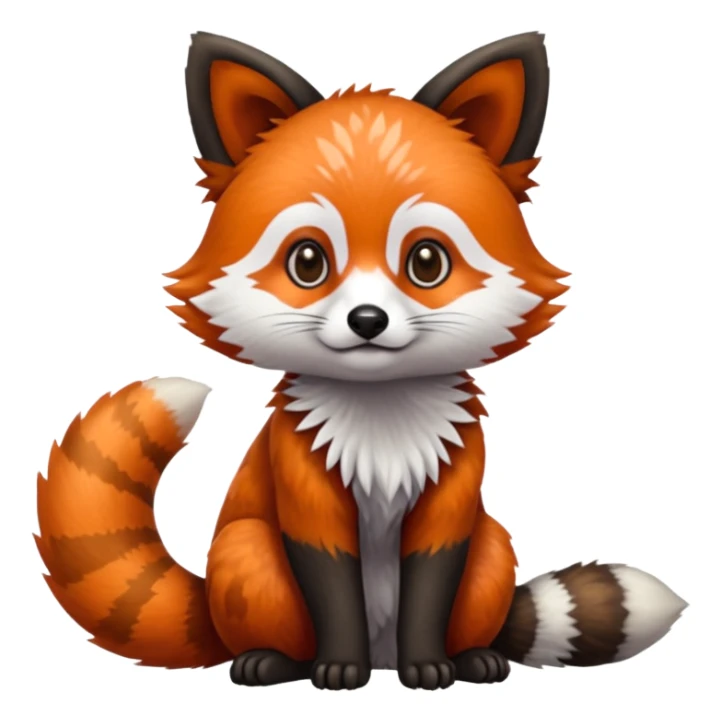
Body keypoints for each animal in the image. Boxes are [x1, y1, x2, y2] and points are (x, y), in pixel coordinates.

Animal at [35, 31, 686, 691]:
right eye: (307, 262)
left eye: (426, 261)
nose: (367, 320)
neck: (381, 421)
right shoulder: (304, 482)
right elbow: (331, 582)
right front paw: (339, 666)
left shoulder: (451, 491)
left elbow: (431, 581)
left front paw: (430, 665)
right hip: (246, 552)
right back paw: (273, 662)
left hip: (493, 549)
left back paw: (473, 657)